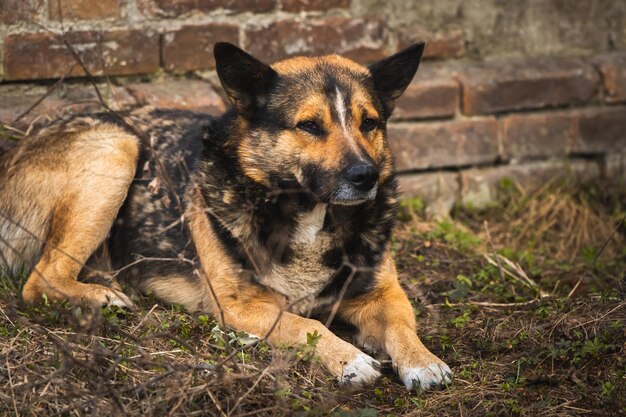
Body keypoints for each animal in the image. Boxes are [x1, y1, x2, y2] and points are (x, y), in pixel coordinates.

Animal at [1, 42, 454, 390]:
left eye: (370, 123)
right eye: (309, 125)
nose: (366, 176)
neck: (309, 214)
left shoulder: (384, 294)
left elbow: (401, 326)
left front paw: (421, 360)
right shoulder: (242, 306)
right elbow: (306, 325)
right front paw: (349, 358)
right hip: (116, 149)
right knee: (40, 278)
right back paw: (99, 296)